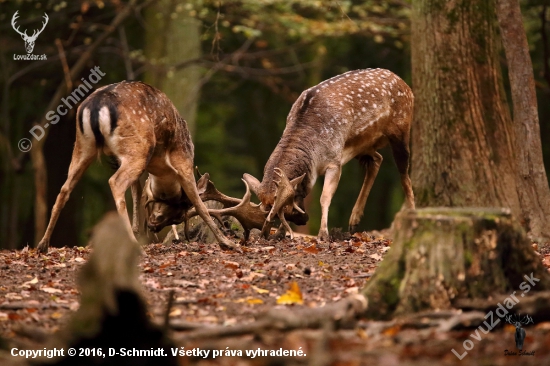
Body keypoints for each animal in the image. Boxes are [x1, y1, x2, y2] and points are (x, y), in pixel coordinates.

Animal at [36, 80, 239, 253]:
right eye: (179, 216)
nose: (153, 226)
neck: (160, 167)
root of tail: (95, 105)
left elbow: (136, 192)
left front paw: (136, 230)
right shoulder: (183, 160)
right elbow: (199, 203)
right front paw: (227, 243)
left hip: (84, 145)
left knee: (65, 189)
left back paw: (43, 245)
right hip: (137, 147)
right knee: (115, 182)